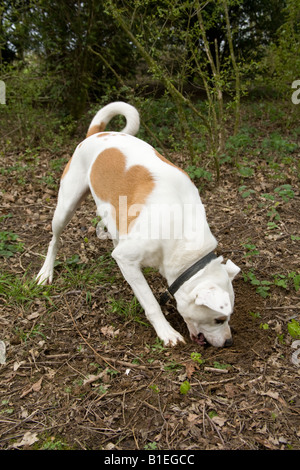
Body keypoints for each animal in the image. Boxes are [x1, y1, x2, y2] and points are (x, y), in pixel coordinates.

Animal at [37, 101, 239, 346]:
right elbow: (151, 303)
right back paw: (46, 271)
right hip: (65, 208)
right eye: (219, 319)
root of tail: (95, 134)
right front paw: (166, 331)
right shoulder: (128, 258)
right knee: (54, 241)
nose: (229, 342)